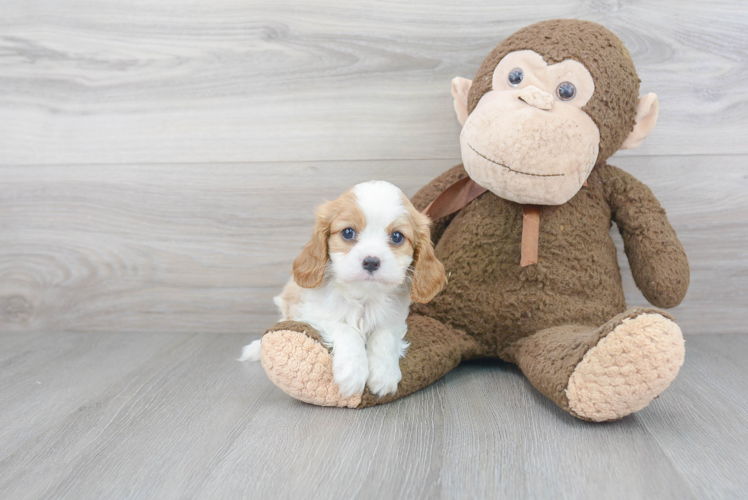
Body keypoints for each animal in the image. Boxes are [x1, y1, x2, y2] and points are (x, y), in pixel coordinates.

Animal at [243, 181, 448, 398]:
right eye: (348, 232)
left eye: (397, 236)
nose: (371, 261)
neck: (364, 295)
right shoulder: (311, 313)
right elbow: (347, 329)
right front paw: (353, 372)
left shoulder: (395, 319)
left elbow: (385, 334)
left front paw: (384, 373)